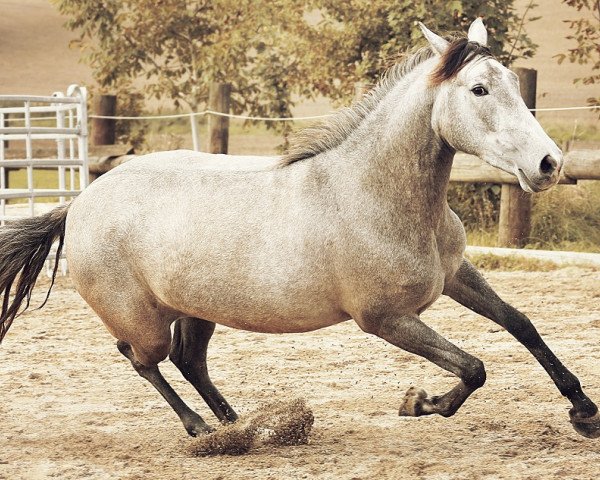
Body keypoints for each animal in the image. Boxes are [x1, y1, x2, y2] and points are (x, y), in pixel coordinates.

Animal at [0, 19, 596, 438]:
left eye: (513, 82)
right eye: (478, 90)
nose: (548, 164)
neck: (374, 195)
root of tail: (78, 204)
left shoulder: (455, 276)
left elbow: (522, 326)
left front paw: (584, 411)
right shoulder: (384, 319)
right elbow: (473, 368)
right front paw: (419, 403)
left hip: (198, 308)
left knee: (189, 361)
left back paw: (239, 424)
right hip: (143, 320)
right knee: (143, 359)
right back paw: (200, 428)